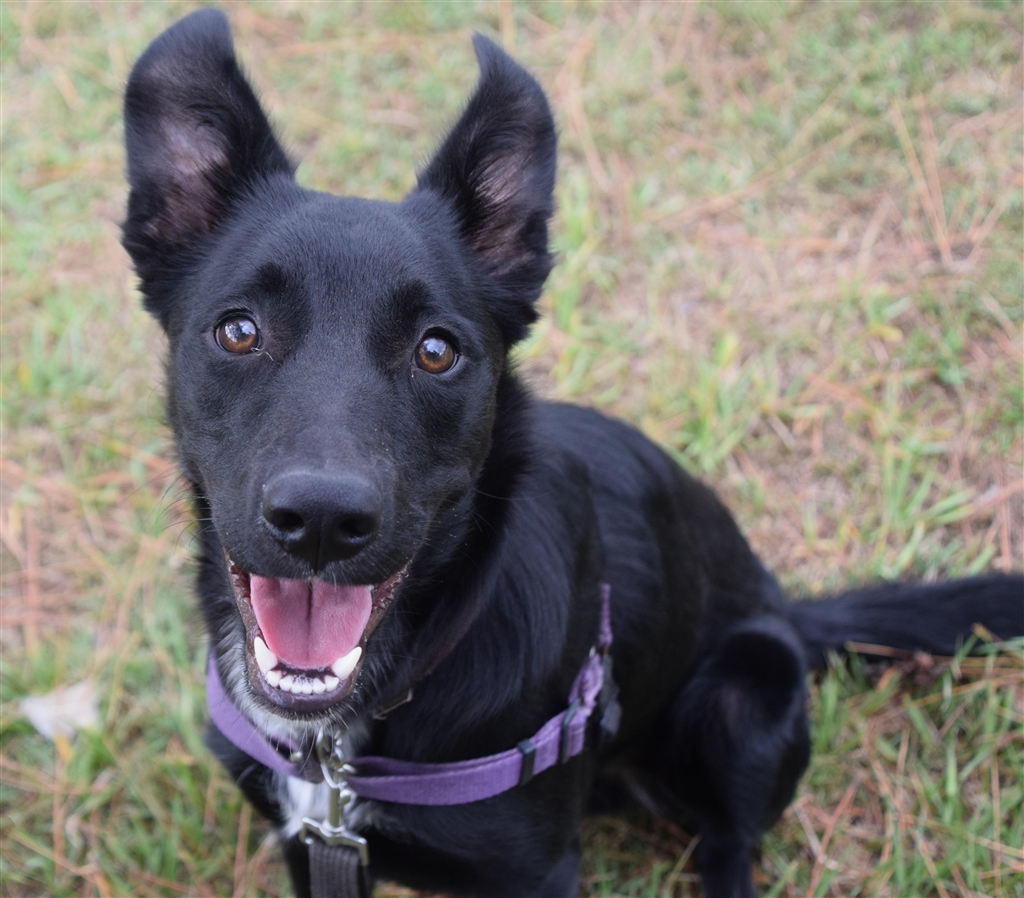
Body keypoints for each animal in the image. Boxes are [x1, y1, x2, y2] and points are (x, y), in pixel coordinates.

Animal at [121, 10, 1024, 892]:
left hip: (749, 692)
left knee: (731, 841)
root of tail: (785, 608)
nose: (320, 520)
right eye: (240, 331)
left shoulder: (539, 868)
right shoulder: (312, 844)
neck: (339, 747)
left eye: (437, 351)